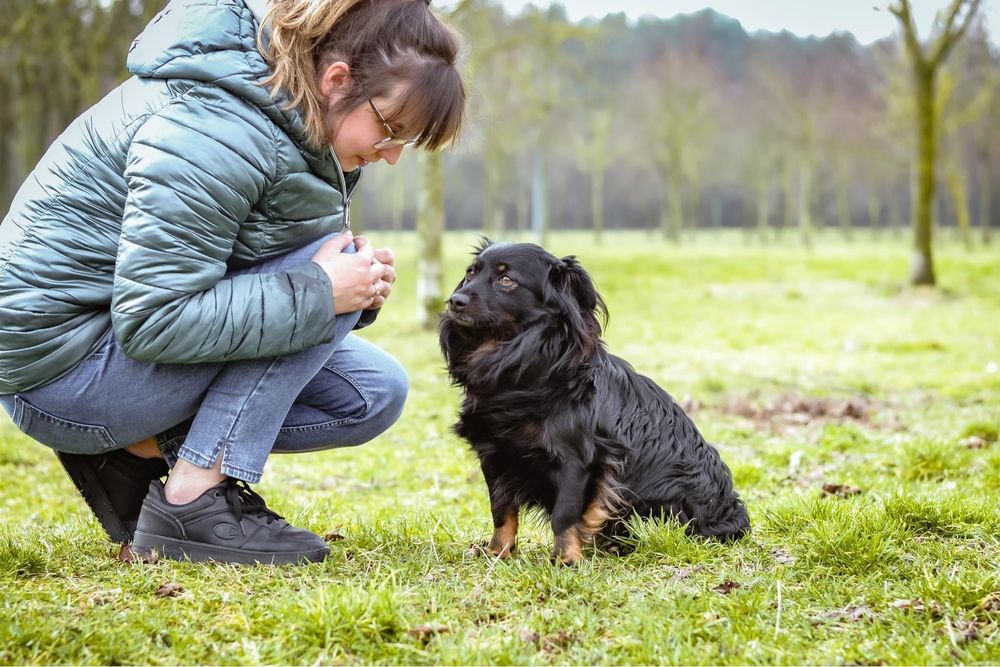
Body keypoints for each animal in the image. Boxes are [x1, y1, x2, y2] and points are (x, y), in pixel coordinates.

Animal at [440, 240, 752, 564]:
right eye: (471, 273)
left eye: (505, 279)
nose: (454, 300)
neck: (525, 369)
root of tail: (733, 520)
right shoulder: (494, 455)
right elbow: (501, 510)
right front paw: (497, 552)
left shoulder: (577, 460)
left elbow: (565, 514)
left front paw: (565, 559)